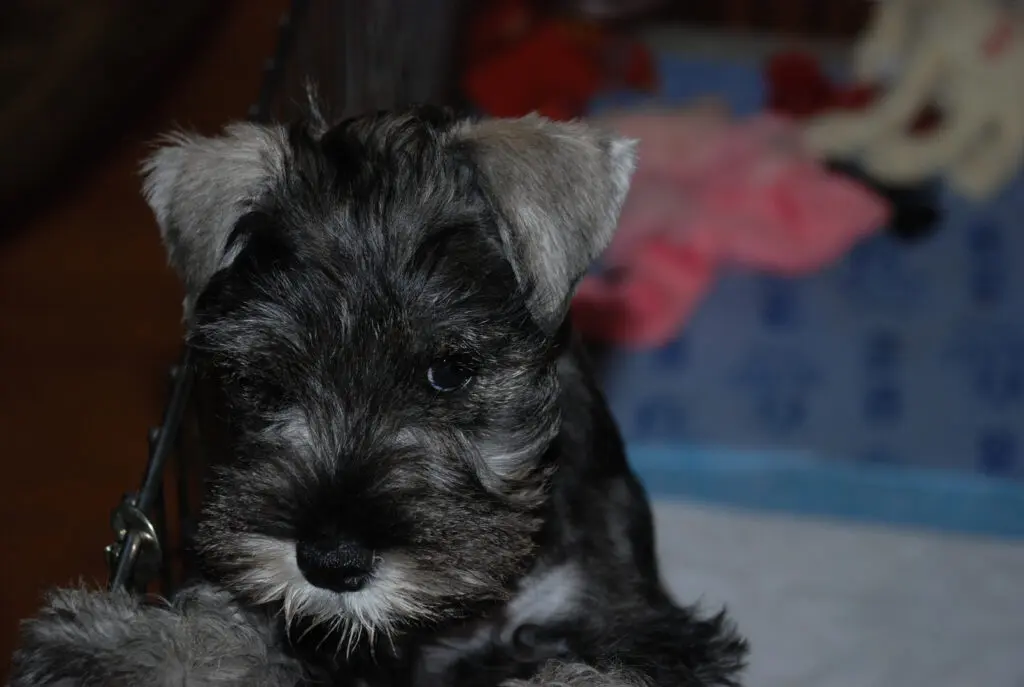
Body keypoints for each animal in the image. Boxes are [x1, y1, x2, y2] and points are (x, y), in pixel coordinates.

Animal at [8, 103, 745, 687]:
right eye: (263, 378)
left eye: (449, 371)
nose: (330, 562)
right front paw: (116, 647)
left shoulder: (635, 625)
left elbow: (593, 670)